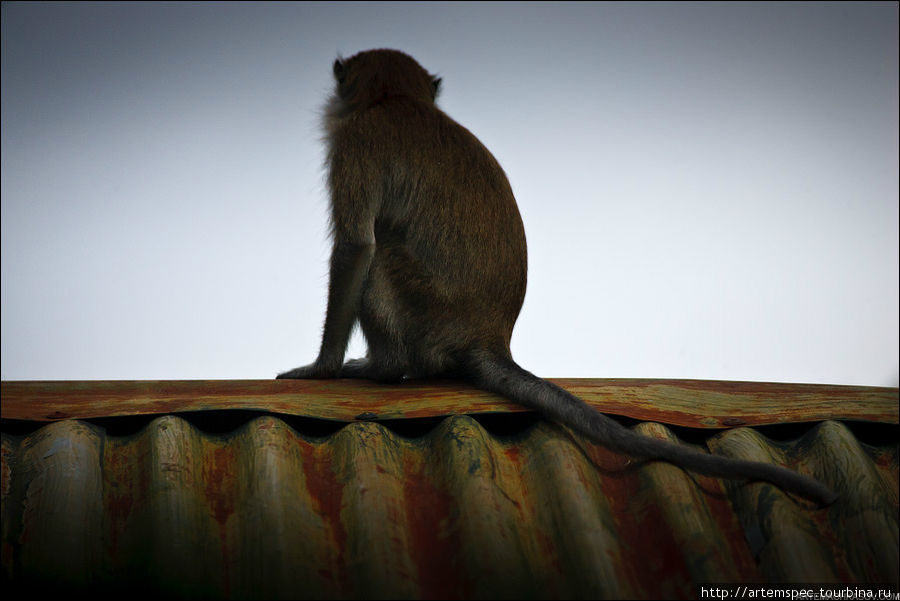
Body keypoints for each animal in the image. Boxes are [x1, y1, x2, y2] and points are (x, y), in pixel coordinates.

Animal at [278, 49, 840, 504]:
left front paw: (321, 367)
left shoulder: (356, 144)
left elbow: (356, 247)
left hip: (426, 310)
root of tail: (492, 339)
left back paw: (385, 366)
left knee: (382, 260)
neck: (394, 99)